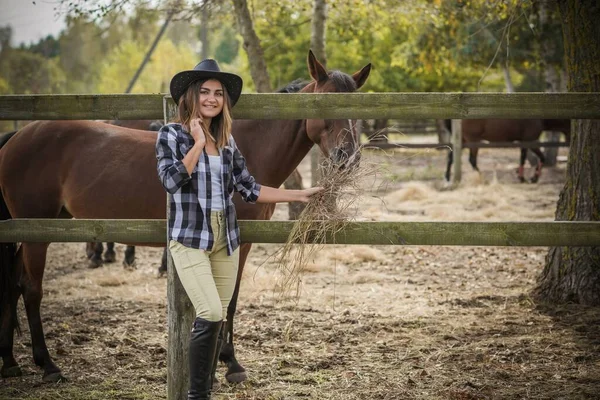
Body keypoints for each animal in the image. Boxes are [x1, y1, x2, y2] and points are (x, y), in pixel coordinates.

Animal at [0, 51, 370, 382]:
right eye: (325, 106)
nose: (348, 158)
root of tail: (18, 136)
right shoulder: (238, 243)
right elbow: (228, 300)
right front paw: (229, 365)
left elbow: (230, 299)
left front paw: (226, 361)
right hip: (37, 233)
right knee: (31, 289)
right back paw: (48, 366)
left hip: (29, 231)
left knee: (13, 285)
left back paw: (11, 362)